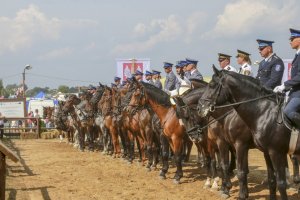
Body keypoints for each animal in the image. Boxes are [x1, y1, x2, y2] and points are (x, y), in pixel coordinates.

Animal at [197, 66, 300, 200]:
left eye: (212, 85)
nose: (200, 108)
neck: (264, 112)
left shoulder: (267, 150)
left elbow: (242, 171)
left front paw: (235, 192)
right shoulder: (266, 152)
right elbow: (271, 180)